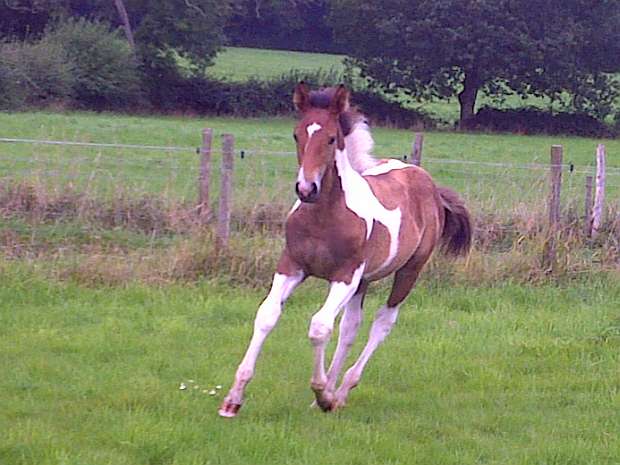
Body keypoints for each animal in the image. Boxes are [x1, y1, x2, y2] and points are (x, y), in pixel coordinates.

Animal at [218, 83, 470, 416]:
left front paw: (321, 392)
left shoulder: (346, 276)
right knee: (350, 327)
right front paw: (233, 400)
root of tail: (427, 182)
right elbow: (267, 315)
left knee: (382, 323)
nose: (306, 189)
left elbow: (319, 327)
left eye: (330, 138)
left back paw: (337, 394)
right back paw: (330, 393)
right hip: (364, 281)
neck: (324, 216)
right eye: (296, 134)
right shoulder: (291, 266)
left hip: (408, 271)